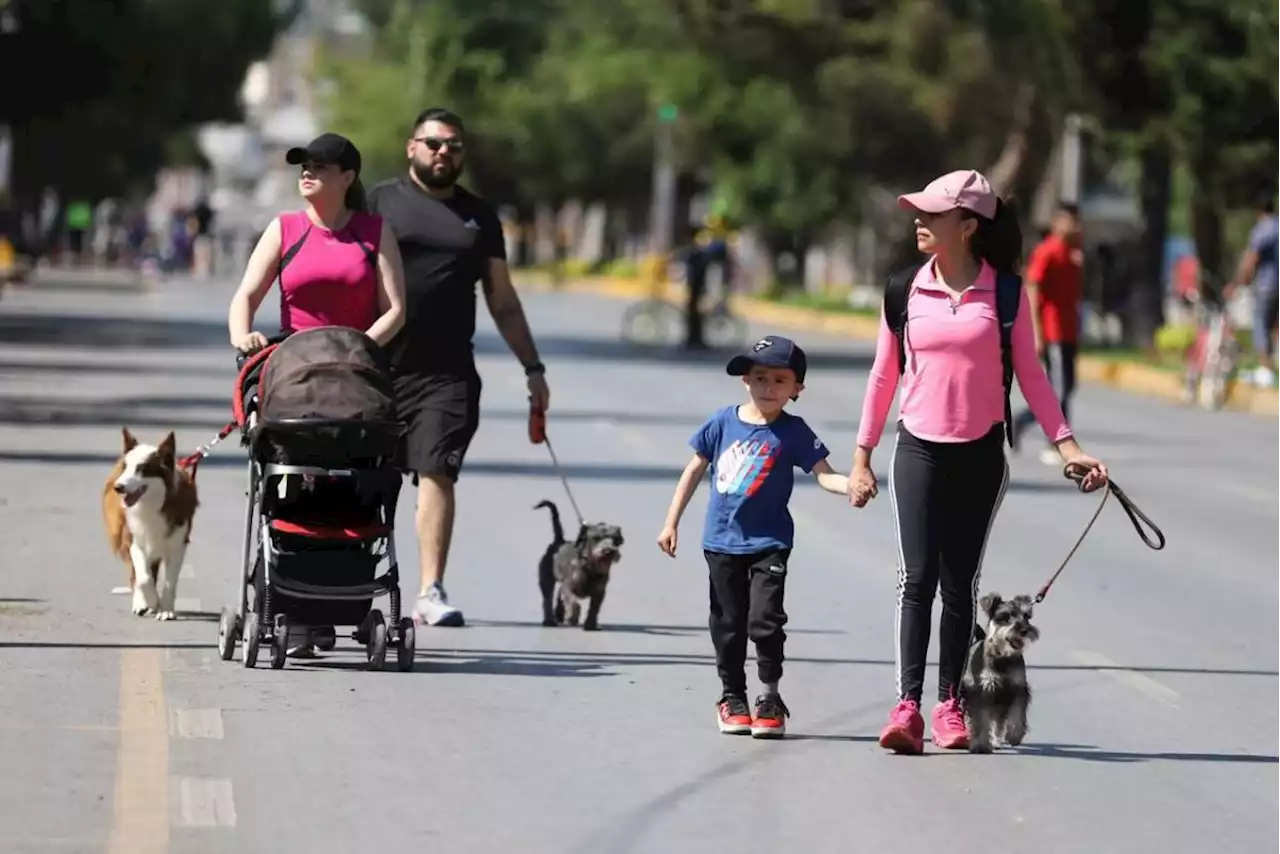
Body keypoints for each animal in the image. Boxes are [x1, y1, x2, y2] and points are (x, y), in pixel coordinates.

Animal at [102, 427, 198, 622]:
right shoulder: (134, 542)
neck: (150, 505)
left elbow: (169, 582)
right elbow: (143, 578)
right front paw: (151, 602)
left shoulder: (177, 545)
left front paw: (165, 609)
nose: (118, 487)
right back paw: (141, 603)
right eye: (126, 467)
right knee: (136, 575)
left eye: (141, 469)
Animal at [535, 496, 624, 632]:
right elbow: (573, 602)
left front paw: (591, 625)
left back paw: (559, 614)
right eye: (596, 538)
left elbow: (594, 608)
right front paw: (573, 617)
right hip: (546, 579)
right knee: (547, 599)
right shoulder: (568, 587)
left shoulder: (599, 592)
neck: (590, 567)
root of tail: (559, 541)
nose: (609, 551)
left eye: (616, 540)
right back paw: (549, 621)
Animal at [962, 594, 1039, 752]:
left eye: (1026, 615)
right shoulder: (980, 691)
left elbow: (1017, 714)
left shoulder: (1018, 689)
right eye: (1005, 616)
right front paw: (980, 745)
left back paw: (996, 741)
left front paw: (1015, 735)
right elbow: (980, 720)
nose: (1024, 630)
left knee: (998, 723)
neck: (1003, 657)